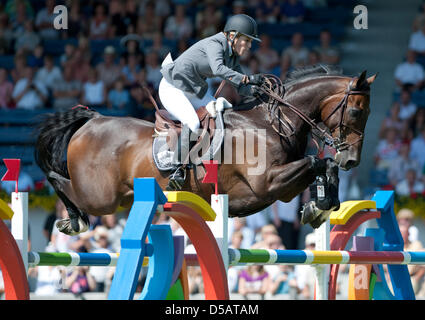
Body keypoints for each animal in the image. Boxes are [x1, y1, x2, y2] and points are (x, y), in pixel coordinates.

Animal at [34, 65, 376, 235]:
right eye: (356, 111)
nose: (351, 159)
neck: (273, 122)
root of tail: (93, 120)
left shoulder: (282, 191)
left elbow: (323, 166)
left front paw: (321, 205)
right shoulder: (268, 183)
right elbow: (316, 162)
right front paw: (321, 203)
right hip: (100, 197)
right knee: (58, 180)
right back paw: (73, 220)